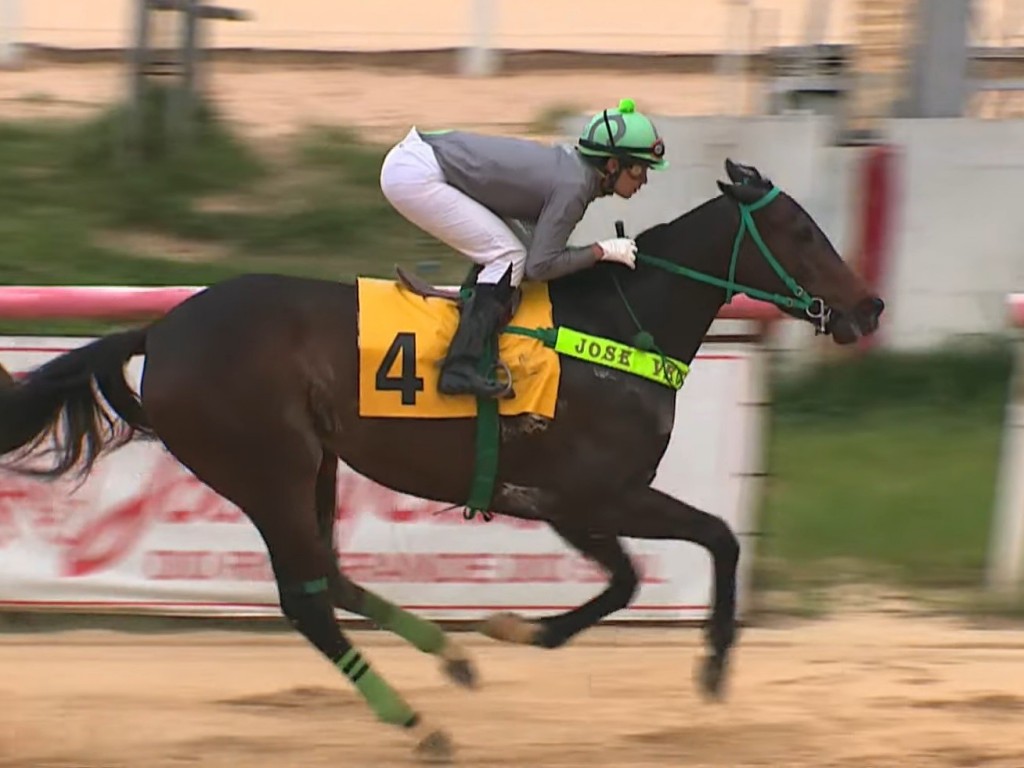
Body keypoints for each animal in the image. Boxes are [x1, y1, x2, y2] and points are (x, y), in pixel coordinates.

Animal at [0, 160, 880, 765]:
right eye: (801, 231)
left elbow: (641, 574)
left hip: (313, 464)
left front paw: (510, 631)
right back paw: (421, 725)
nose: (868, 307)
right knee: (305, 601)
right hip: (266, 468)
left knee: (328, 577)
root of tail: (162, 329)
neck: (616, 331)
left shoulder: (567, 502)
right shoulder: (588, 495)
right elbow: (705, 545)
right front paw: (710, 667)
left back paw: (450, 659)